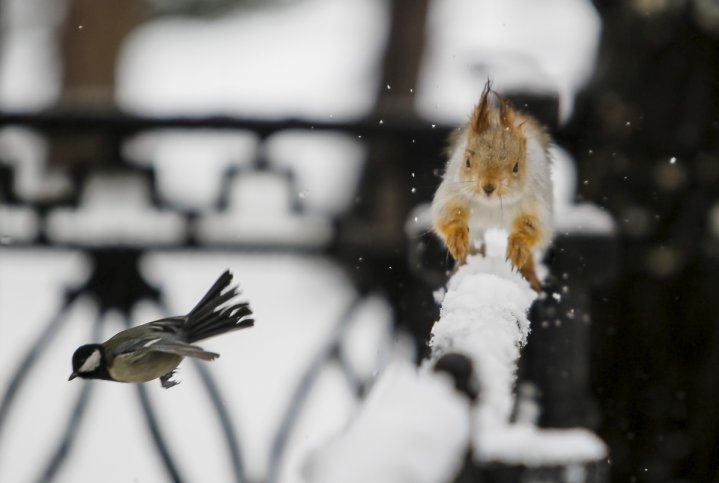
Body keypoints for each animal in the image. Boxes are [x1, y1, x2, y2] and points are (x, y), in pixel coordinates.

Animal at [430, 82, 556, 292]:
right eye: (467, 161)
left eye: (516, 167)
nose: (488, 187)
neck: (492, 205)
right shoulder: (453, 194)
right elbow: (447, 216)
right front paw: (456, 239)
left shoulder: (534, 204)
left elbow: (531, 228)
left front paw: (518, 247)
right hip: (476, 228)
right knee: (475, 246)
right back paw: (464, 263)